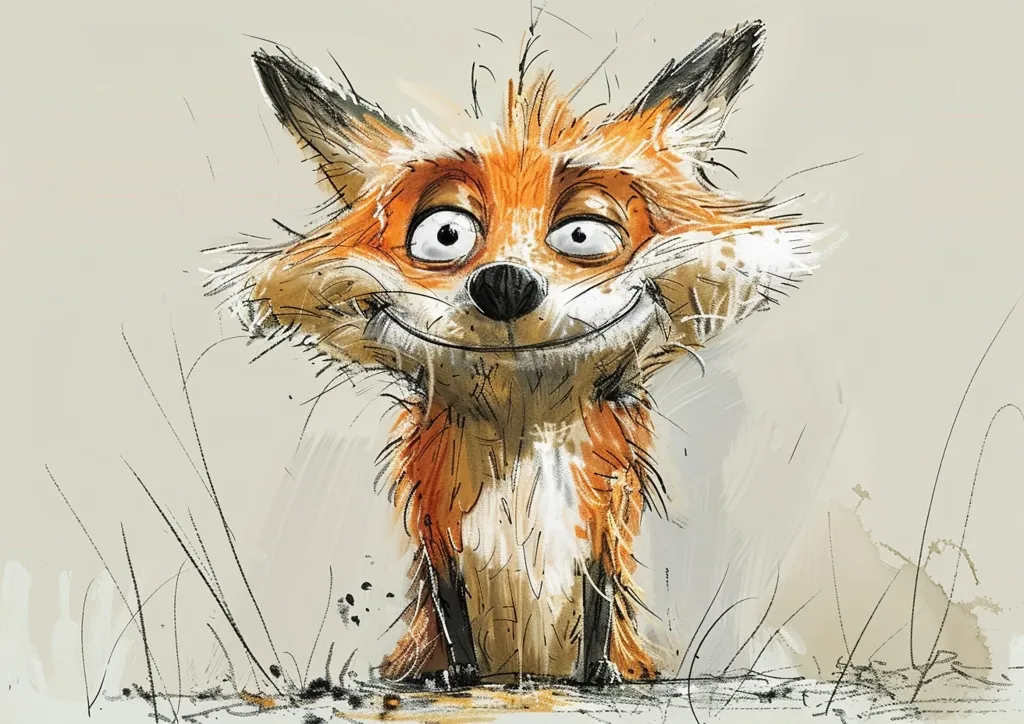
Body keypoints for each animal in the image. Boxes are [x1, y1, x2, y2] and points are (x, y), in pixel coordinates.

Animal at [212, 19, 818, 687]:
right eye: (445, 234)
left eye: (581, 233)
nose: (504, 284)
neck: (521, 433)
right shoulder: (437, 523)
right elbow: (452, 615)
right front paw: (458, 676)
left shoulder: (605, 518)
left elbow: (601, 609)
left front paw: (598, 675)